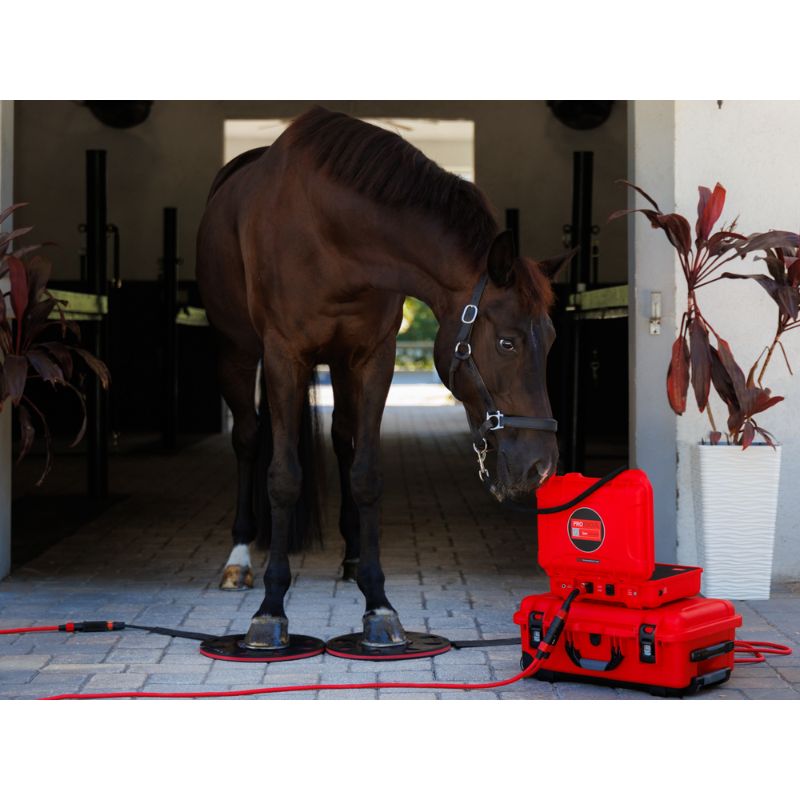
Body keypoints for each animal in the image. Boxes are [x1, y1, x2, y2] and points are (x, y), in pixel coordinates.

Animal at [196, 106, 569, 650]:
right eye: (507, 343)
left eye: (553, 338)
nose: (540, 467)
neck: (330, 233)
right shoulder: (284, 355)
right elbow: (283, 477)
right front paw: (269, 613)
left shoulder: (374, 358)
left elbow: (366, 473)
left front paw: (378, 604)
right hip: (238, 354)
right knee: (247, 441)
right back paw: (239, 560)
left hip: (338, 365)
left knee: (342, 441)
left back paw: (351, 555)